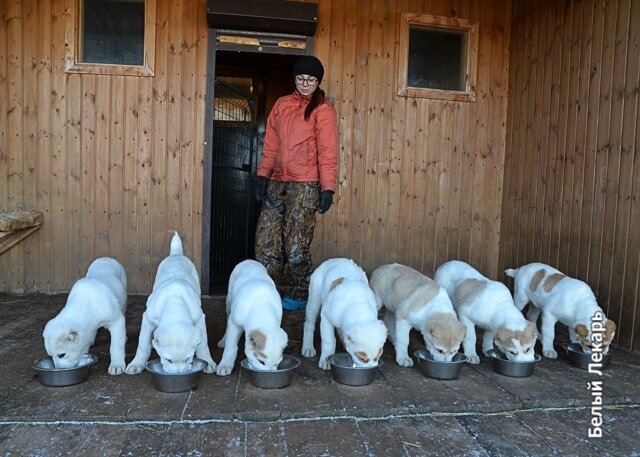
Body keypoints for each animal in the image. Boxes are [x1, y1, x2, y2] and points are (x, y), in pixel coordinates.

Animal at [125, 232, 218, 374]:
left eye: (187, 359)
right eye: (168, 360)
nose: (178, 375)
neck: (175, 306)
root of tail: (176, 255)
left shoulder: (199, 318)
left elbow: (203, 344)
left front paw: (209, 362)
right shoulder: (148, 319)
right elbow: (143, 344)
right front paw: (136, 364)